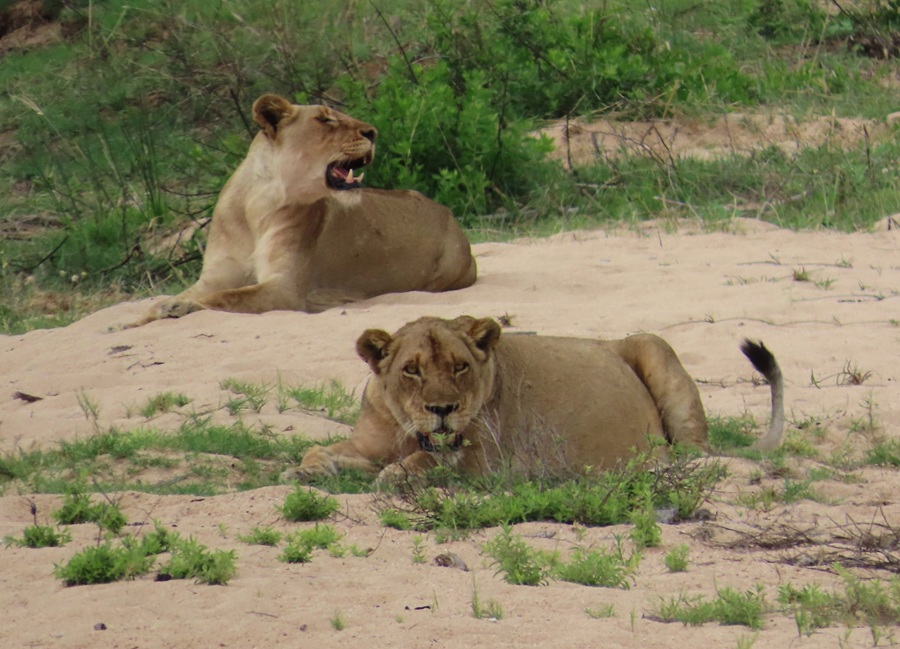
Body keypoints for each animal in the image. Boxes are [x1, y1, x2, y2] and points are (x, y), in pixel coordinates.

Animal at [126, 94, 476, 327]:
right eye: (326, 119)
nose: (373, 132)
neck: (256, 207)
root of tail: (447, 212)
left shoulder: (285, 289)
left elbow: (221, 298)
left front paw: (180, 308)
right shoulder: (215, 277)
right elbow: (176, 299)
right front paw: (135, 319)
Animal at [282, 315, 785, 485]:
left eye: (460, 366)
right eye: (412, 369)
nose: (442, 410)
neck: (409, 430)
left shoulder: (488, 459)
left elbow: (423, 464)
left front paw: (393, 475)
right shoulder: (368, 444)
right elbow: (323, 449)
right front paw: (306, 469)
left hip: (652, 345)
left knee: (695, 455)